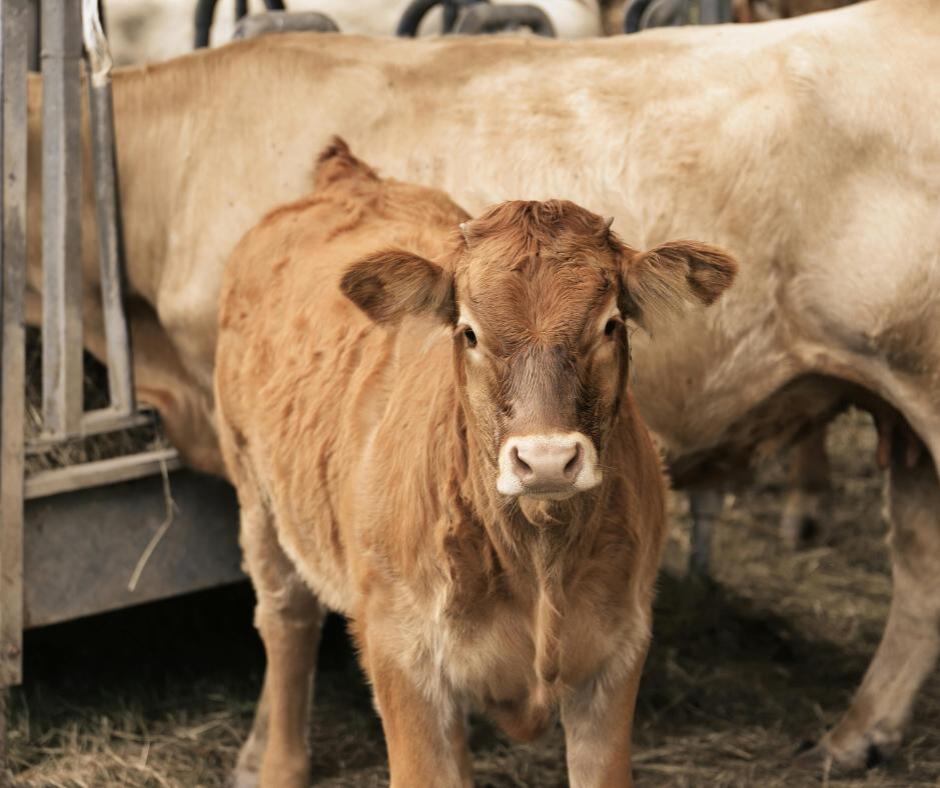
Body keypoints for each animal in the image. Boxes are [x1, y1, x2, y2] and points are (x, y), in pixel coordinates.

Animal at [214, 139, 735, 788]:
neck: (538, 556)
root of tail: (348, 178)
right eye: (468, 332)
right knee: (286, 617)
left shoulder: (617, 654)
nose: (546, 460)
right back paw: (277, 763)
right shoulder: (402, 655)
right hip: (255, 493)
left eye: (610, 324)